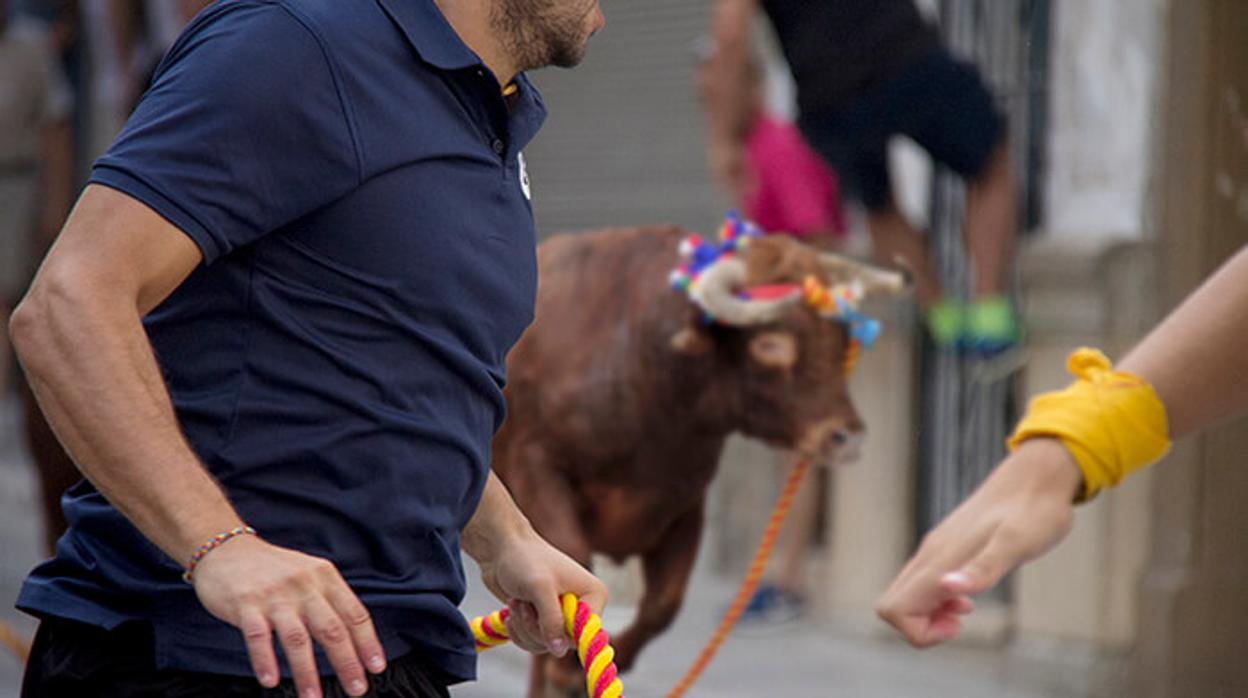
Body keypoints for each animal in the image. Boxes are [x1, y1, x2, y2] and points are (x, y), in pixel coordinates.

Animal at [489, 227, 908, 694]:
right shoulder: (538, 469)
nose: (846, 436)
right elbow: (569, 560)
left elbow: (664, 602)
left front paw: (610, 659)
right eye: (771, 343)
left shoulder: (685, 502)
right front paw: (566, 669)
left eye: (838, 341)